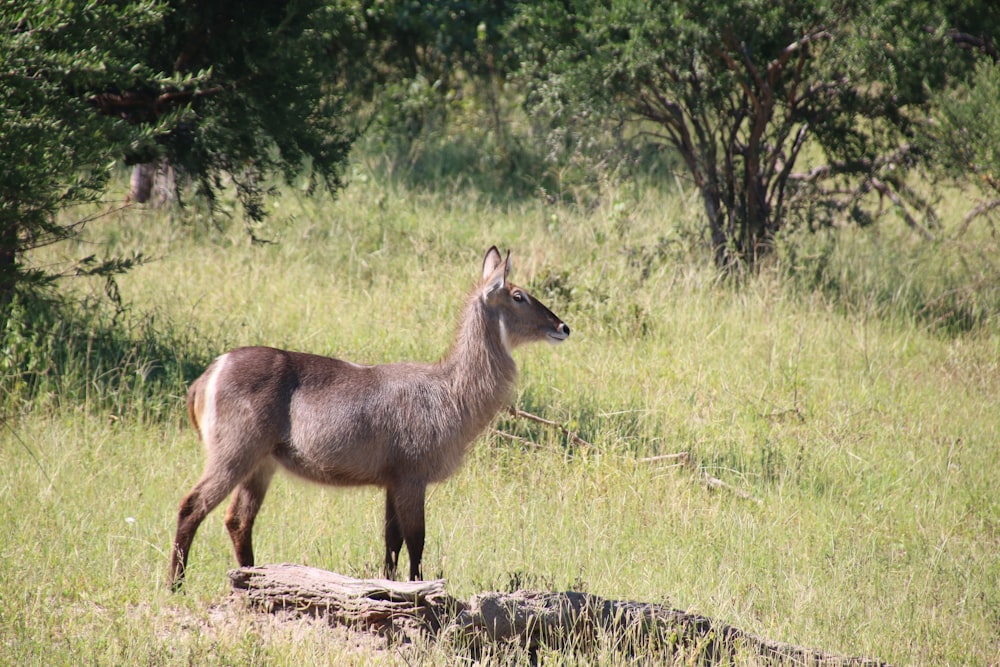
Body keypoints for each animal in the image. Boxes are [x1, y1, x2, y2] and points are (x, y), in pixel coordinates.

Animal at [172, 245, 572, 588]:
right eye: (518, 295)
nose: (563, 327)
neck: (451, 393)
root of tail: (209, 373)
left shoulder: (391, 481)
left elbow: (391, 543)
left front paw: (388, 587)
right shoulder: (412, 477)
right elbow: (416, 541)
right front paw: (419, 590)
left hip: (262, 464)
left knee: (238, 520)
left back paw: (254, 578)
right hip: (235, 453)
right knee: (191, 506)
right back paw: (176, 585)